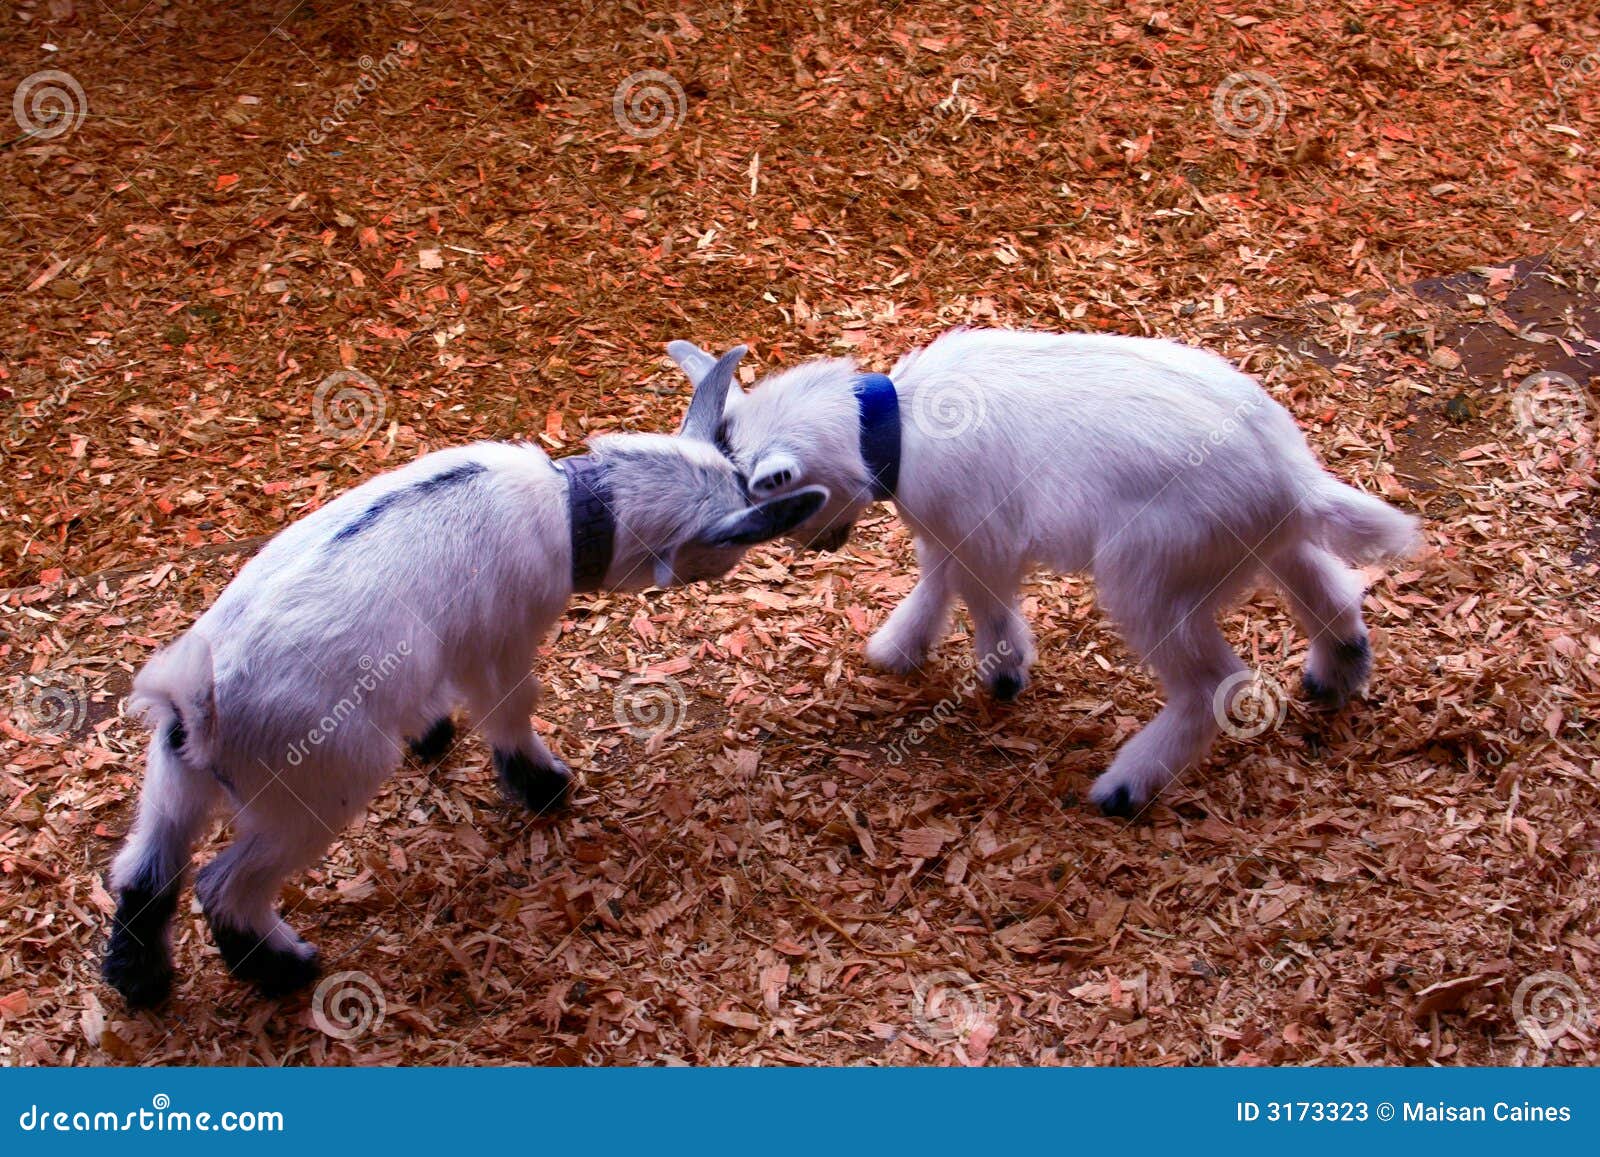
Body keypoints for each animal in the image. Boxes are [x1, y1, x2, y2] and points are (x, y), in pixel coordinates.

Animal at [104, 346, 825, 1007]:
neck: (572, 505)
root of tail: (197, 705)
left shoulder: (440, 644)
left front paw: (432, 736)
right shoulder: (500, 641)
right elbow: (511, 707)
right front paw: (545, 786)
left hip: (173, 783)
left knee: (144, 871)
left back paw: (140, 982)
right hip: (316, 784)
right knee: (224, 886)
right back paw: (286, 969)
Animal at [668, 328, 1419, 817]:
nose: (821, 550)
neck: (889, 426)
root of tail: (1290, 479)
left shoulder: (982, 532)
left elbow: (982, 595)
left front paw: (1002, 672)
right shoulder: (951, 529)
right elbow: (938, 579)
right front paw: (899, 648)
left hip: (1151, 578)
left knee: (1213, 684)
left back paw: (1124, 787)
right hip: (1262, 543)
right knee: (1327, 586)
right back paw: (1337, 674)